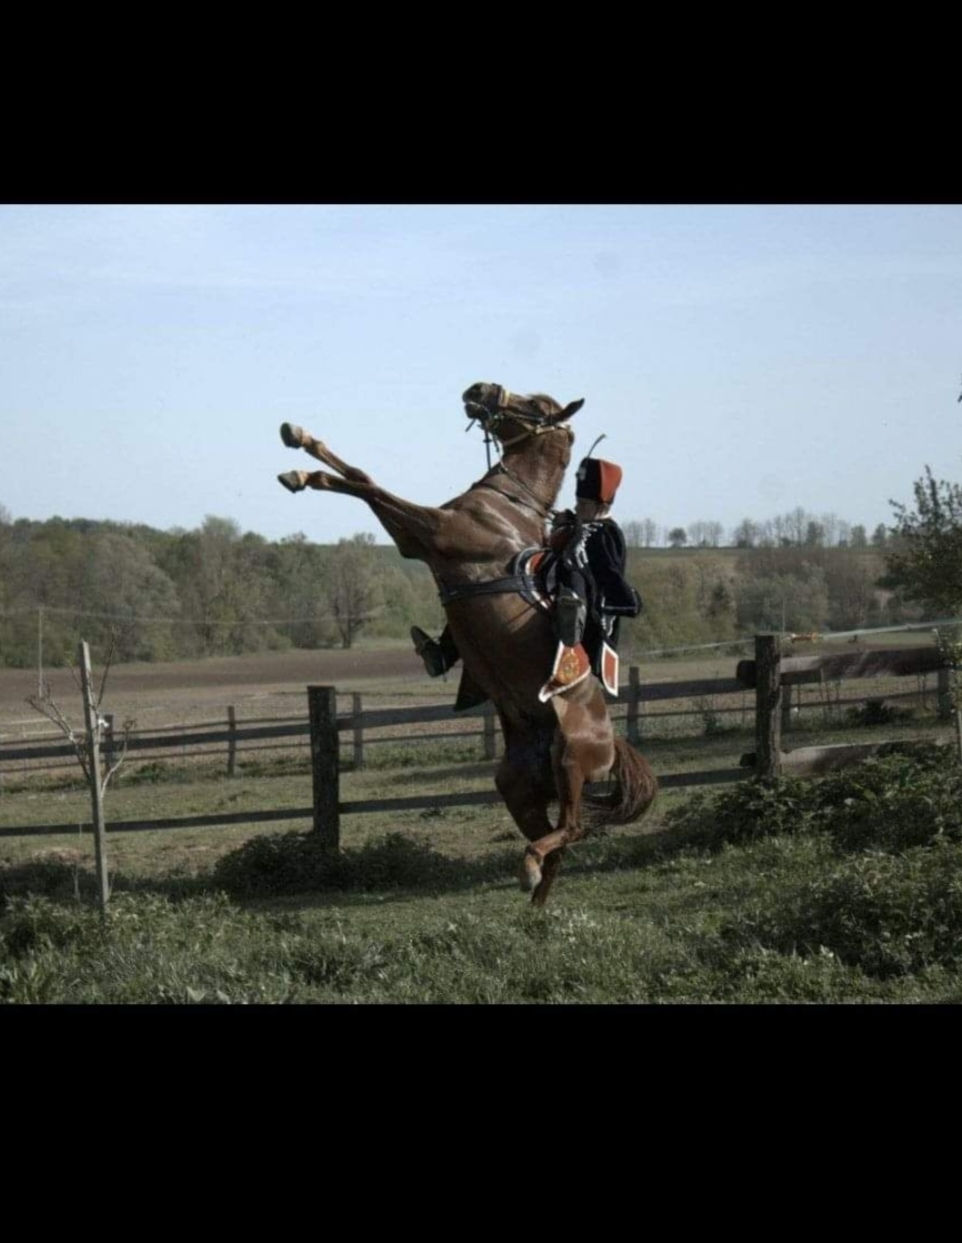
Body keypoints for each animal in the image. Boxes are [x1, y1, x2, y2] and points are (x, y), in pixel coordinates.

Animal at [274, 377, 661, 904]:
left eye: (536, 405)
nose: (479, 388)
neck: (505, 506)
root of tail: (612, 741)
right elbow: (356, 475)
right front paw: (300, 450)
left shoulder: (429, 534)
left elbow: (367, 483)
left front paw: (301, 467)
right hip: (518, 785)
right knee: (558, 836)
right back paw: (536, 898)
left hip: (570, 761)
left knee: (573, 828)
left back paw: (530, 870)